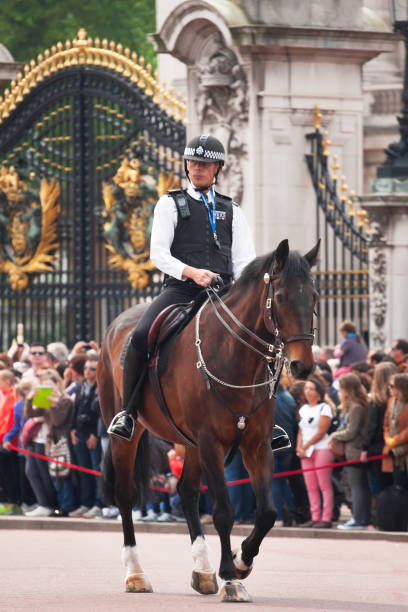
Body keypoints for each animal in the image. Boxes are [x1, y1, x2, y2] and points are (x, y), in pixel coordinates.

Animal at [98, 238, 318, 604]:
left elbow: (267, 512)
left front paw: (242, 562)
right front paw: (230, 576)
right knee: (126, 494)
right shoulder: (211, 442)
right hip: (127, 436)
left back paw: (202, 570)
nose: (303, 366)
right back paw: (135, 573)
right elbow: (224, 511)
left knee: (186, 492)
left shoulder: (256, 444)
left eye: (313, 296)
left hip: (190, 444)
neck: (234, 357)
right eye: (282, 296)